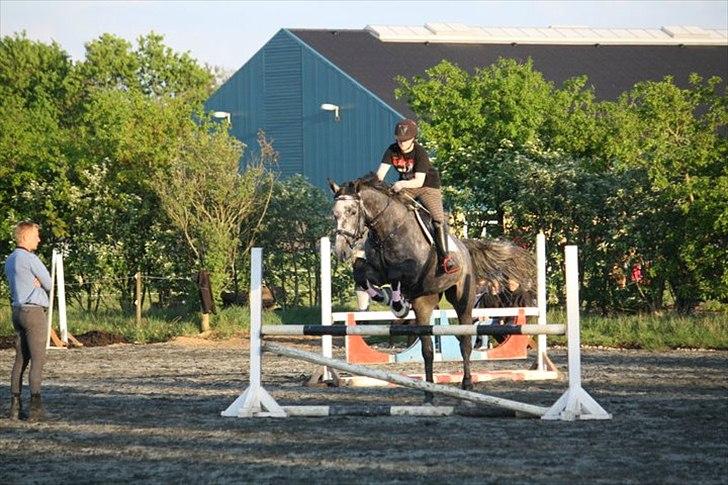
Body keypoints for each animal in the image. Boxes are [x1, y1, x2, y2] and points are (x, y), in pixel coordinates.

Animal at [330, 174, 536, 400]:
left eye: (352, 211)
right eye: (335, 214)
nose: (340, 251)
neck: (387, 231)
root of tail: (464, 246)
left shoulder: (410, 271)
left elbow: (396, 276)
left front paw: (397, 303)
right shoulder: (375, 271)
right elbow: (361, 274)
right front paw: (386, 298)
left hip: (462, 300)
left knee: (465, 341)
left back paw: (467, 383)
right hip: (425, 302)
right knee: (427, 350)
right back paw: (429, 390)